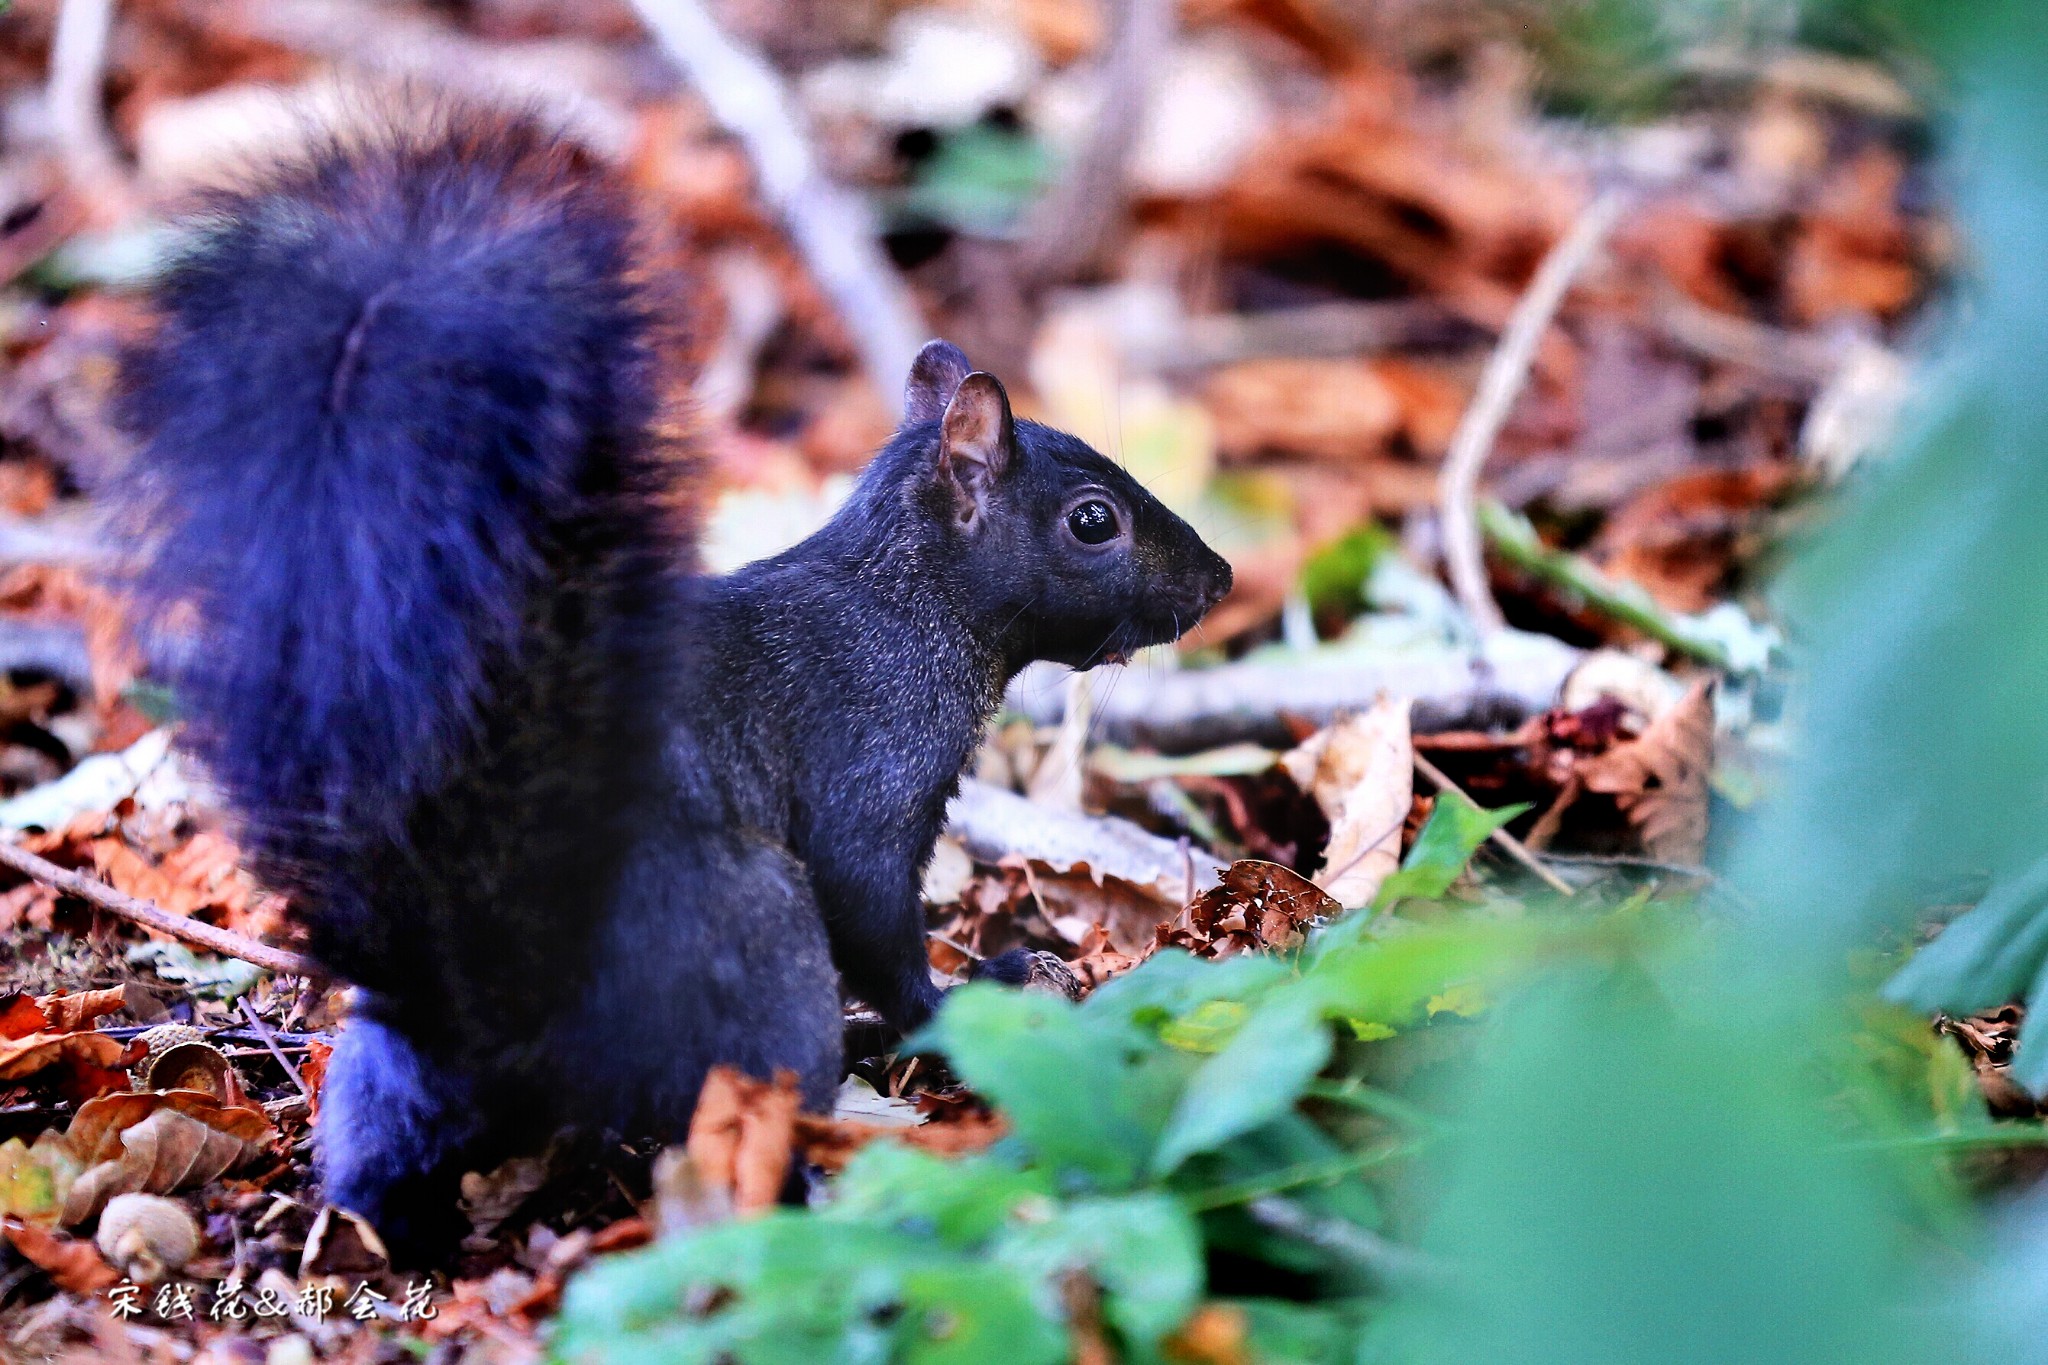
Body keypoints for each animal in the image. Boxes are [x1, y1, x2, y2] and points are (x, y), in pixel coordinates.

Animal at [116, 112, 1228, 1252]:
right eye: (1093, 520)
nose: (1218, 579)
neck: (902, 598)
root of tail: (494, 994)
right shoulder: (870, 762)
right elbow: (873, 910)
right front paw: (969, 993)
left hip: (388, 1071)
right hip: (753, 940)